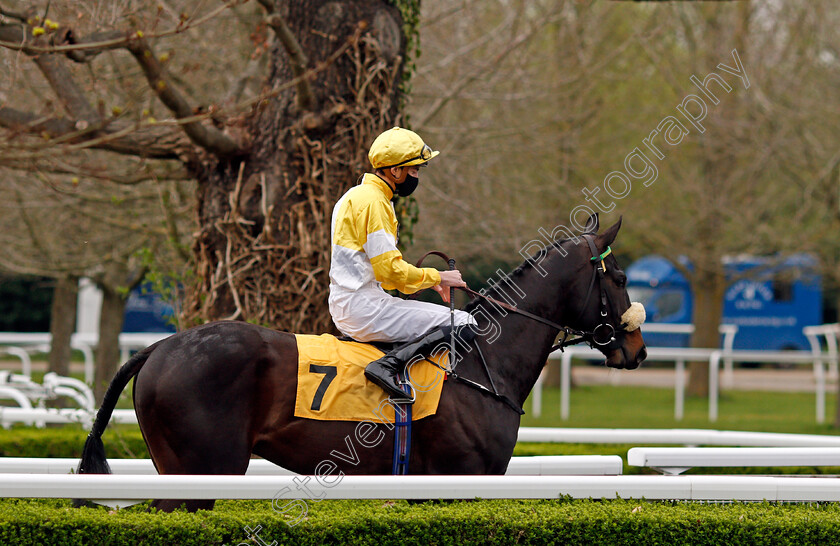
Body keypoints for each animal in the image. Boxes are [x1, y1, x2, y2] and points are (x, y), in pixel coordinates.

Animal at [79, 214, 648, 510]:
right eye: (621, 278)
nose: (637, 349)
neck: (482, 365)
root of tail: (158, 348)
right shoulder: (455, 481)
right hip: (201, 472)